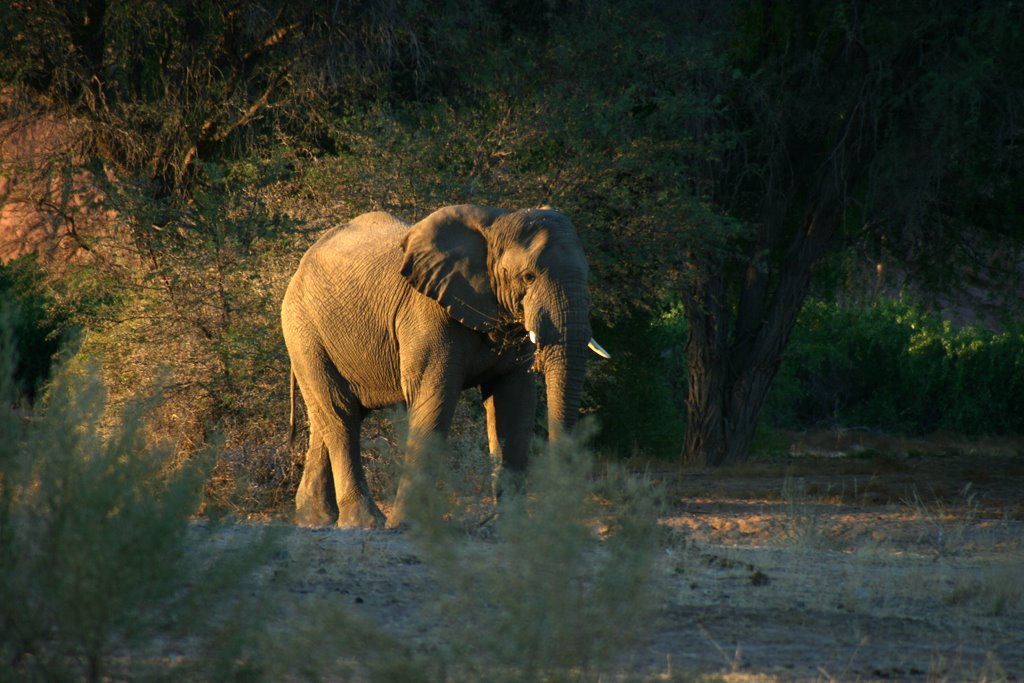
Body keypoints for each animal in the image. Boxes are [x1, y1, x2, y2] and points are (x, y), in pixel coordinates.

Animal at [280, 202, 606, 528]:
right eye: (528, 277)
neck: (494, 226)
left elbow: (513, 406)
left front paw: (514, 527)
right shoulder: (427, 313)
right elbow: (435, 400)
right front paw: (406, 525)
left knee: (329, 417)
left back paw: (314, 519)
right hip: (304, 331)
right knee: (342, 415)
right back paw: (363, 522)